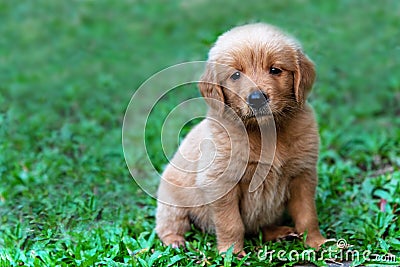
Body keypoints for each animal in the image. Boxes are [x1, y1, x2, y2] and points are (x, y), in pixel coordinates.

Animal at [155, 23, 326, 255]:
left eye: (275, 70)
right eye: (235, 75)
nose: (256, 99)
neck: (265, 131)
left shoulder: (303, 175)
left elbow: (308, 215)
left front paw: (317, 242)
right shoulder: (221, 183)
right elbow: (231, 223)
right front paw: (232, 254)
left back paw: (278, 232)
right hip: (171, 202)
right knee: (169, 225)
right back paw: (175, 241)